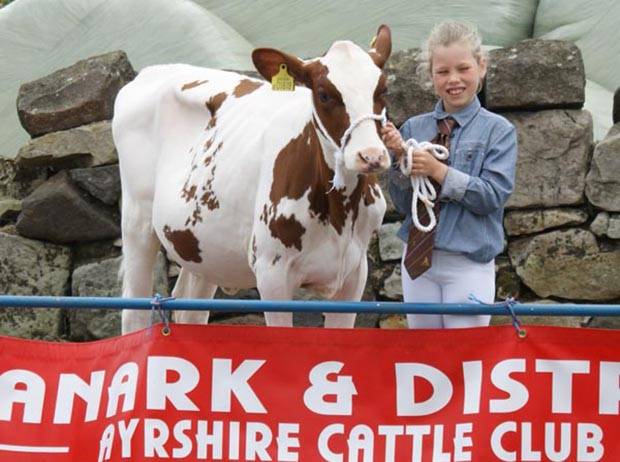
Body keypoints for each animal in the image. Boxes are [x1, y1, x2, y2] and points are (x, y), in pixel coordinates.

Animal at [112, 25, 392, 332]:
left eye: (383, 89)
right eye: (324, 94)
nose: (371, 155)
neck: (339, 212)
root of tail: (152, 71)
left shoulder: (354, 272)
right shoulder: (272, 273)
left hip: (202, 246)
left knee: (189, 308)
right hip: (137, 219)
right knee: (133, 311)